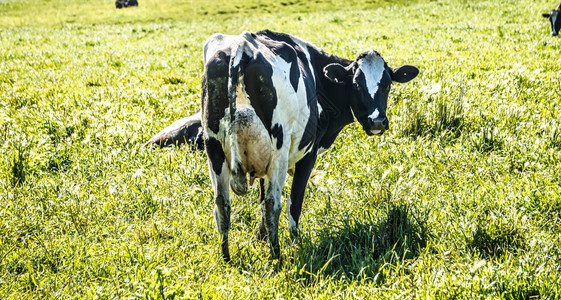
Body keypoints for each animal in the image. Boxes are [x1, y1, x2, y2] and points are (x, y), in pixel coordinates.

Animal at [201, 29, 416, 262]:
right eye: (357, 84)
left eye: (387, 85)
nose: (377, 121)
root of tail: (243, 44)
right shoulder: (308, 155)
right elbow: (294, 203)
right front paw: (295, 243)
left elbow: (260, 196)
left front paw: (261, 237)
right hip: (279, 150)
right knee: (272, 204)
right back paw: (277, 256)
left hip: (214, 148)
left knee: (222, 204)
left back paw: (226, 257)